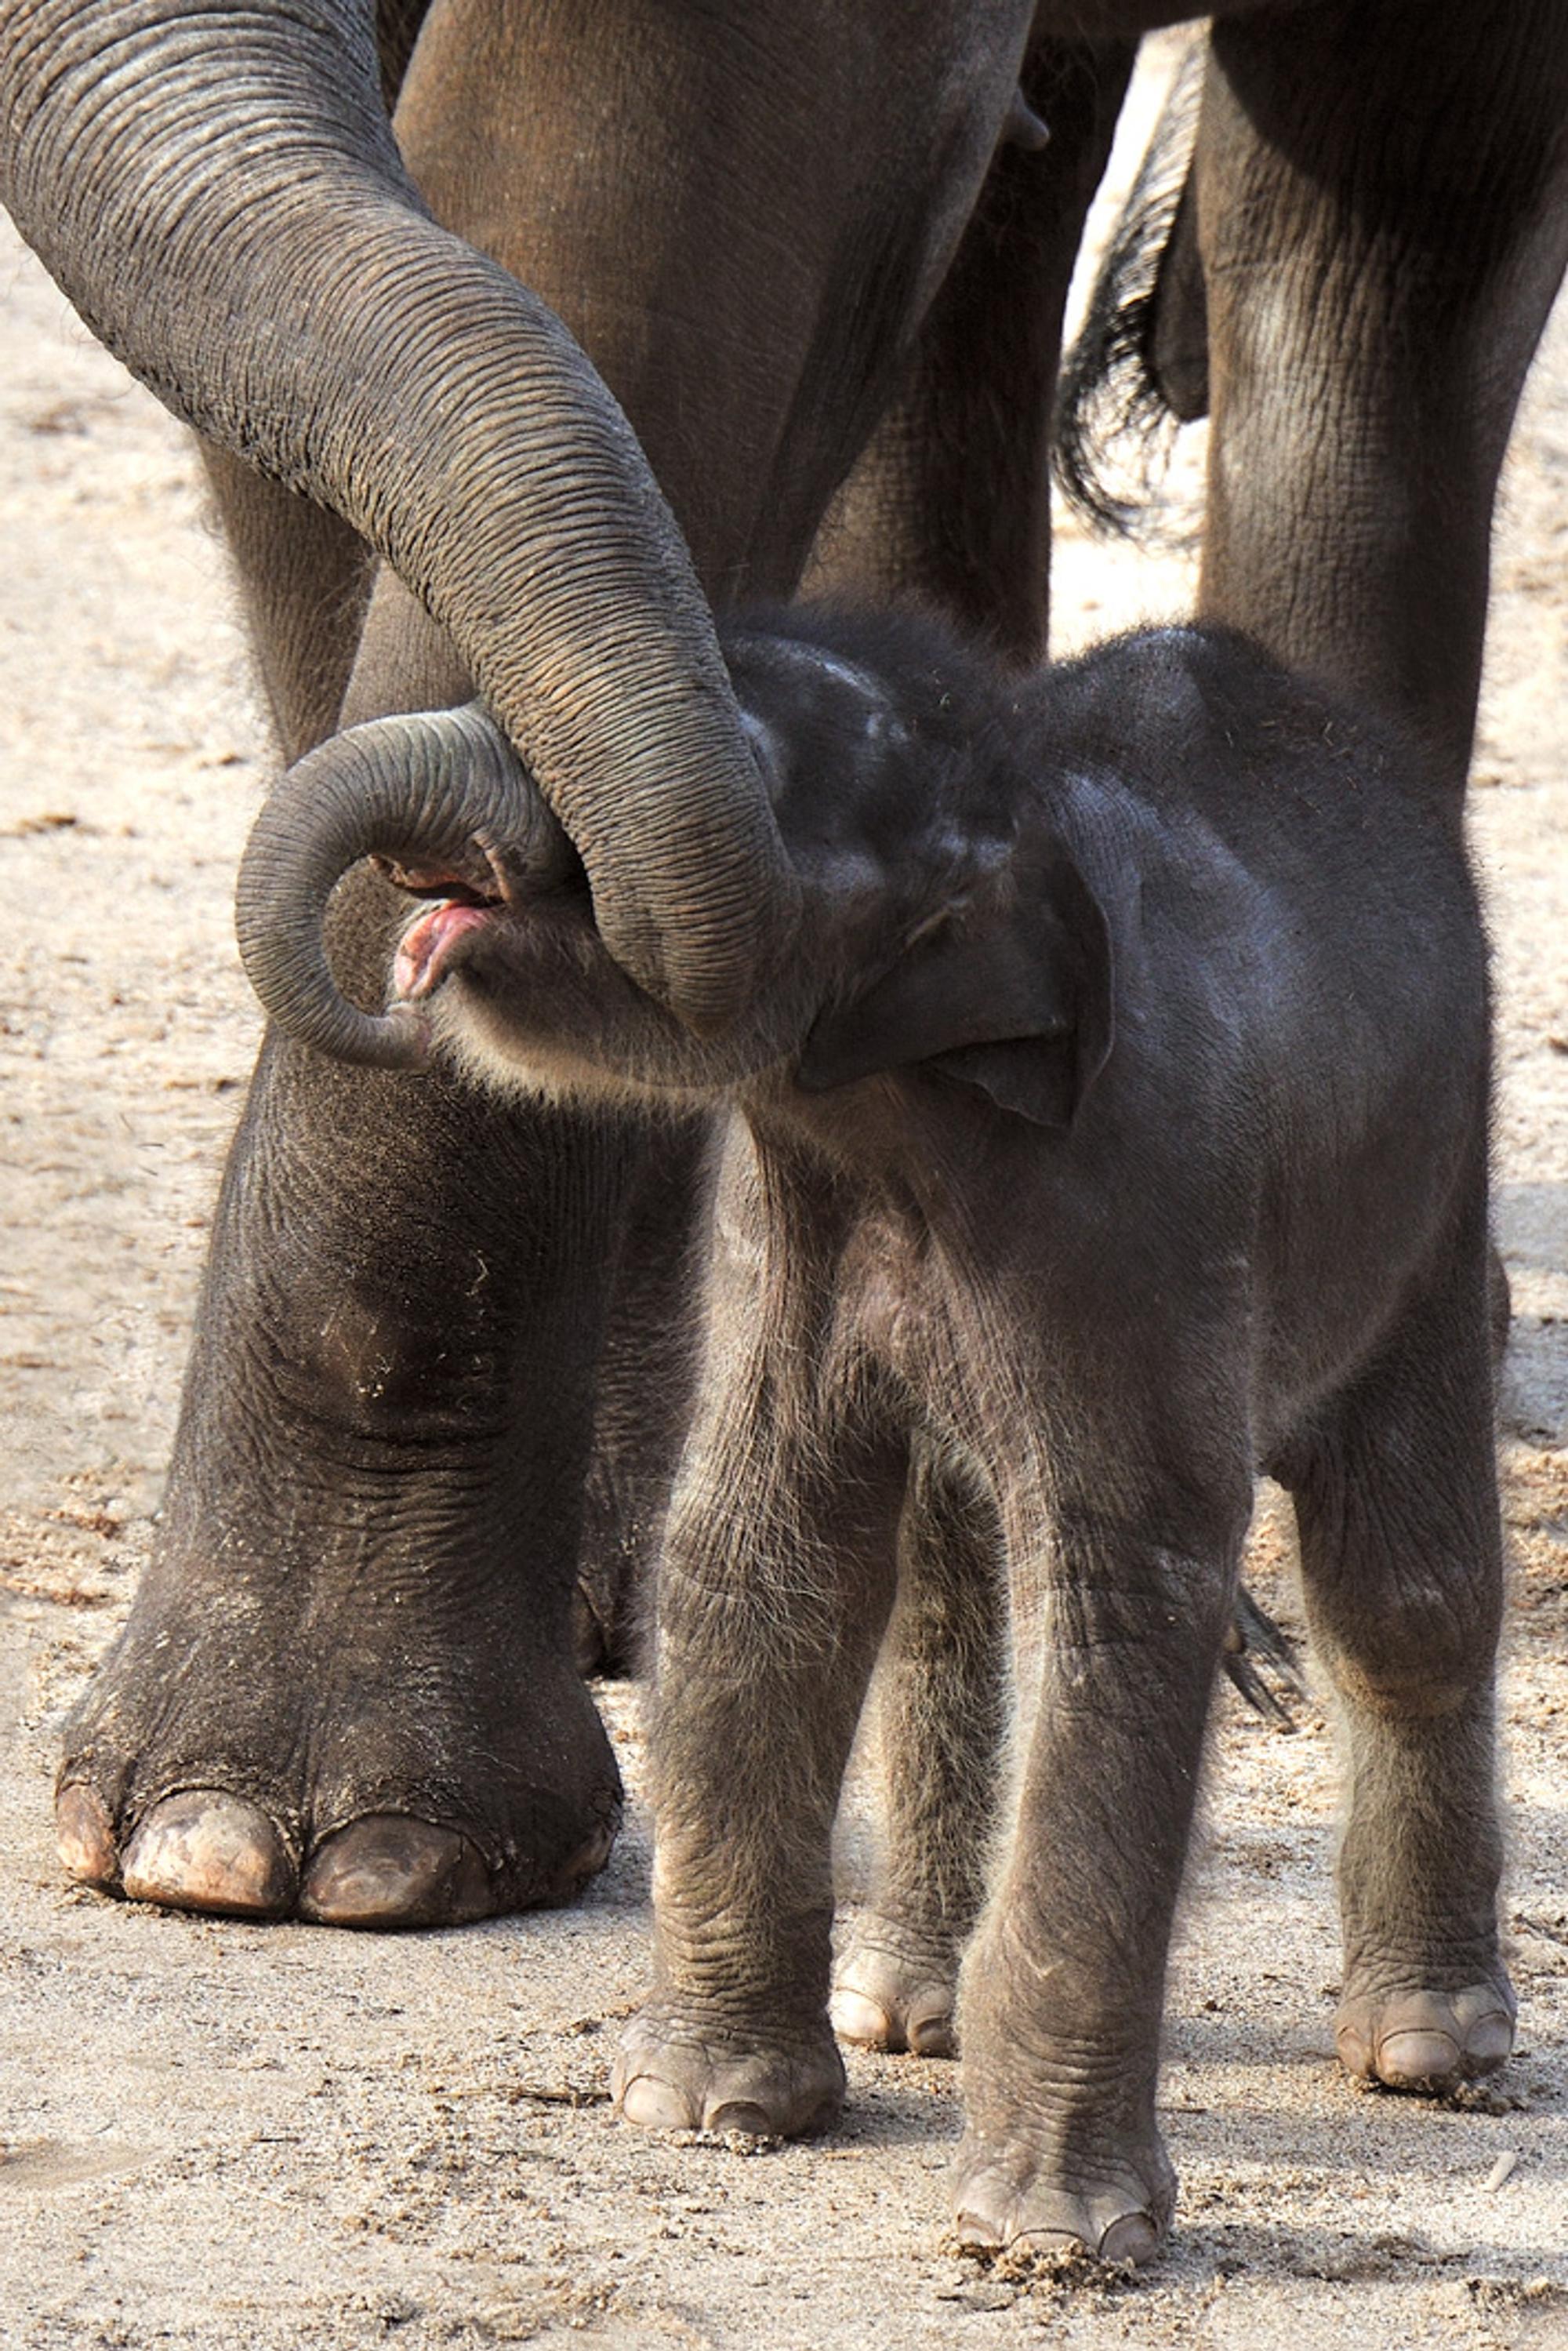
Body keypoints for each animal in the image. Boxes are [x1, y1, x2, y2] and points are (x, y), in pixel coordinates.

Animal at [232, 603, 1512, 2264]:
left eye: (752, 782)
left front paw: (1050, 2241)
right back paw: (903, 2007)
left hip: (1435, 1182)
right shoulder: (792, 1200)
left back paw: (1428, 2047)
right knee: (945, 1587)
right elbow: (754, 1547)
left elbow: (1117, 1597)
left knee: (1405, 1582)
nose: (408, 958)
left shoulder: (1142, 1194)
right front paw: (706, 2110)